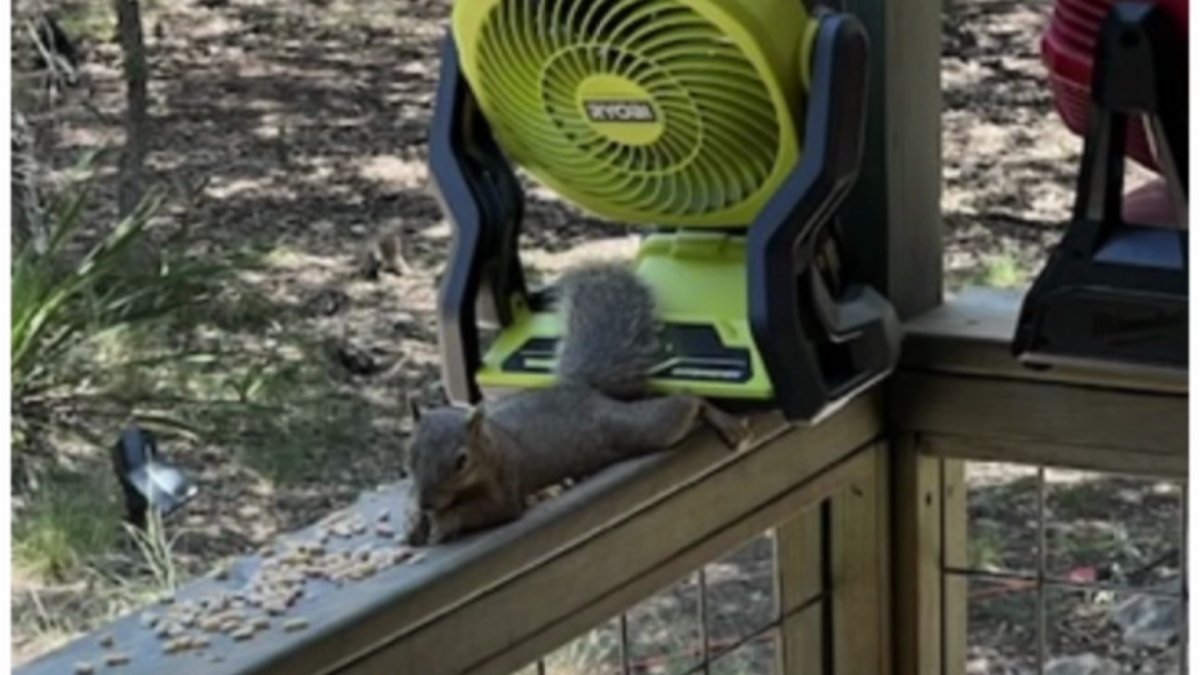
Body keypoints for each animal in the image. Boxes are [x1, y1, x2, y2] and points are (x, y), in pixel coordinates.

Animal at [402, 261, 752, 546]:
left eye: (462, 461)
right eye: (411, 455)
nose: (427, 503)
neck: (490, 445)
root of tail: (579, 388)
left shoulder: (506, 485)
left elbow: (489, 510)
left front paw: (445, 521)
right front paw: (414, 522)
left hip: (636, 427)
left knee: (685, 404)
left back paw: (725, 421)